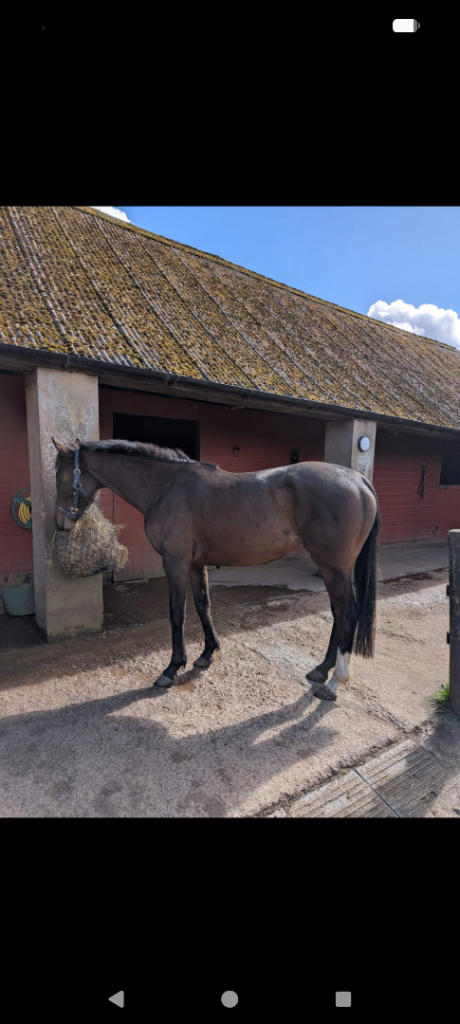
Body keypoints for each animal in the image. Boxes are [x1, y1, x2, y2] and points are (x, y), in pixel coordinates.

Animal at [52, 437, 380, 701]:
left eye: (60, 476)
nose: (61, 524)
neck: (166, 487)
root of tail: (358, 480)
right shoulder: (196, 565)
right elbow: (203, 606)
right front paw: (207, 654)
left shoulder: (174, 562)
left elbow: (177, 613)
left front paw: (172, 669)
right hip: (332, 569)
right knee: (338, 613)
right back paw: (321, 670)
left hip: (333, 567)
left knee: (346, 613)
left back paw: (335, 682)